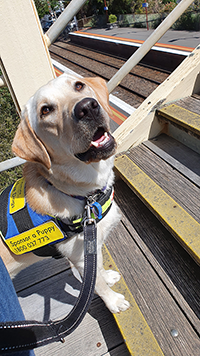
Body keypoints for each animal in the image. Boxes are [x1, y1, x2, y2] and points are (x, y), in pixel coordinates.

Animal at [0, 73, 130, 312]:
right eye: (45, 110)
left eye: (79, 86)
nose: (87, 107)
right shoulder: (79, 257)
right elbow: (96, 285)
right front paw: (114, 301)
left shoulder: (92, 245)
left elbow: (98, 270)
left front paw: (107, 276)